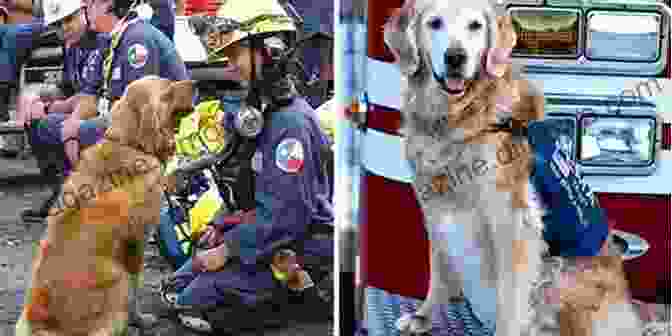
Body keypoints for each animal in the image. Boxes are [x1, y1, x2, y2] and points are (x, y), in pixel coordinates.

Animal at [14, 77, 194, 336]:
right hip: (117, 277)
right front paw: (139, 319)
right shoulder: (136, 241)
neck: (130, 143)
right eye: (167, 91)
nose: (197, 83)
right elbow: (135, 288)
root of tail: (42, 325)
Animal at [384, 0, 640, 336]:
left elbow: (511, 296)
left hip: (562, 275)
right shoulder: (435, 206)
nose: (456, 58)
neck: (457, 118)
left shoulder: (513, 222)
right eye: (434, 23)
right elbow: (438, 268)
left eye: (475, 26)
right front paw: (424, 316)